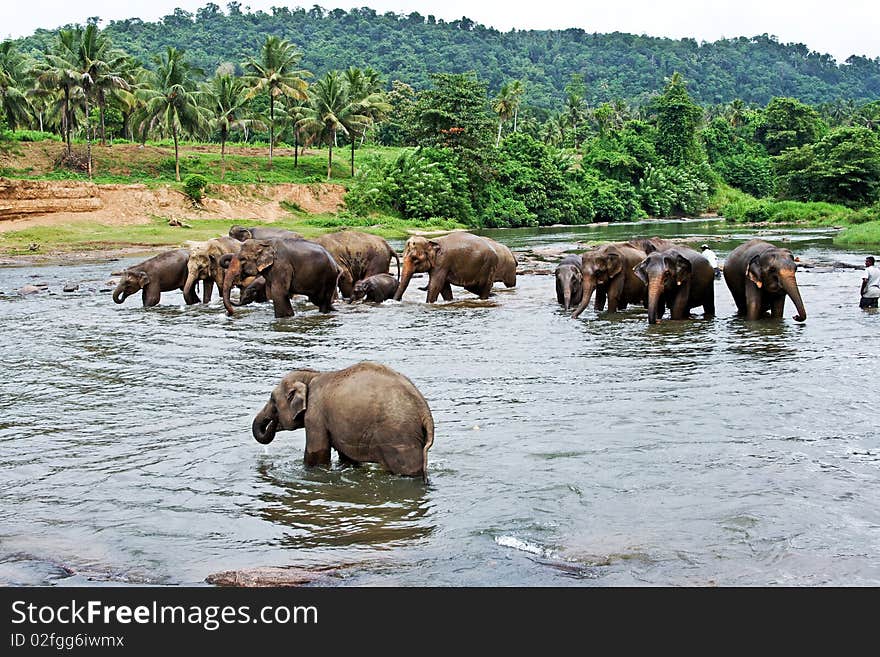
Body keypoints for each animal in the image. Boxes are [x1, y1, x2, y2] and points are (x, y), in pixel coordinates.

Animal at [253, 362, 434, 480]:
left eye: (273, 400)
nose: (272, 423)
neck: (312, 376)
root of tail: (424, 410)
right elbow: (346, 456)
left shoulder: (315, 415)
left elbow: (317, 453)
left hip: (399, 439)